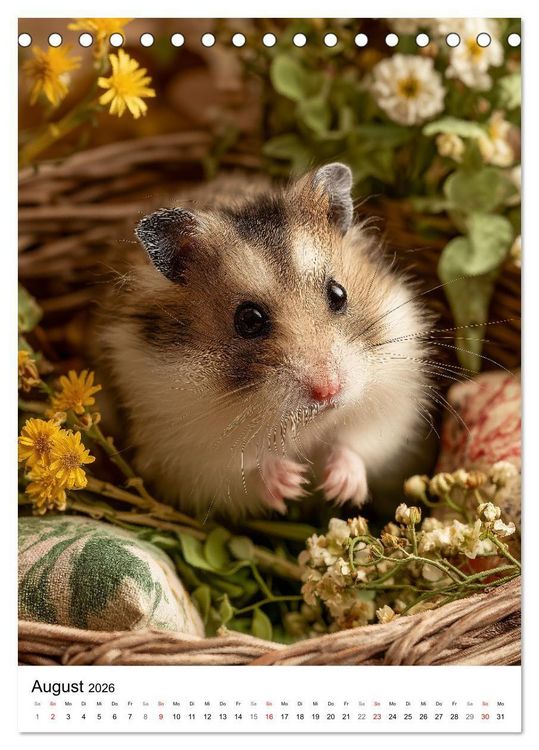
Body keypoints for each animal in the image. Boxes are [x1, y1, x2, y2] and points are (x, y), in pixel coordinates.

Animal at [99, 164, 433, 520]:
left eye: (338, 293)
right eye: (248, 320)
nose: (328, 391)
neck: (303, 425)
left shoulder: (391, 409)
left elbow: (359, 444)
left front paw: (338, 489)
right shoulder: (185, 454)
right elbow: (243, 473)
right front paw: (293, 482)